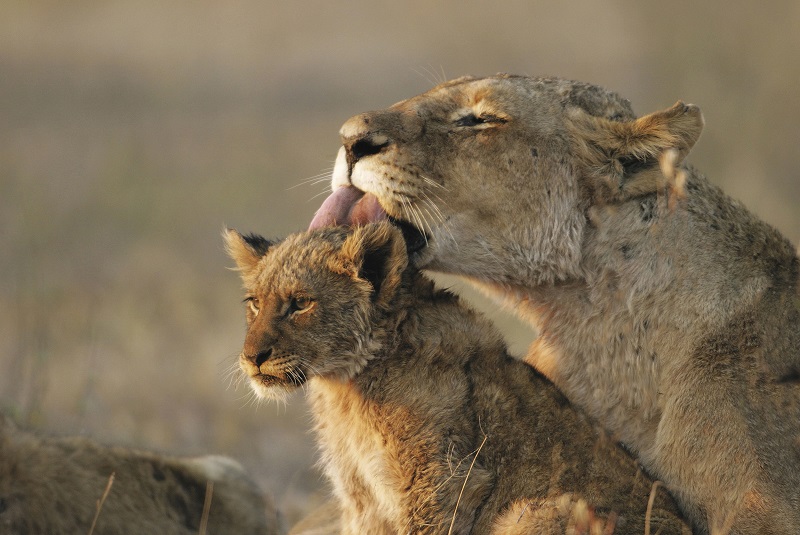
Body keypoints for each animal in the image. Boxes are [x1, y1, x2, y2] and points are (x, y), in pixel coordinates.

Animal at [225, 223, 691, 534]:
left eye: (301, 303)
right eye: (254, 303)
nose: (251, 358)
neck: (345, 388)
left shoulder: (444, 483)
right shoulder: (362, 500)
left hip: (546, 510)